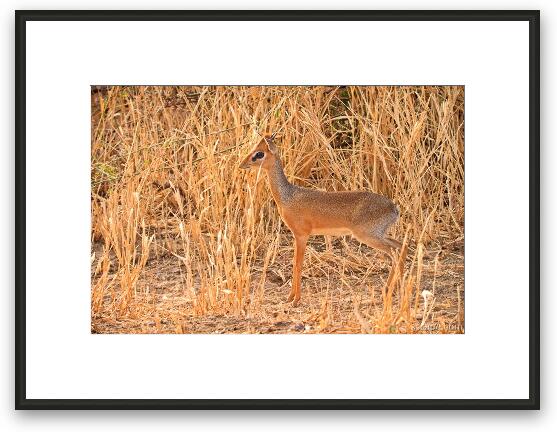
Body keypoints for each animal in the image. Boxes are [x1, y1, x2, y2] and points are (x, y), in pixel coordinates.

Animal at [239, 137, 400, 306]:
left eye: (259, 153)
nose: (242, 164)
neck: (287, 197)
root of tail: (394, 209)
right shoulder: (297, 236)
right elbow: (295, 264)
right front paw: (290, 298)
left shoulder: (302, 235)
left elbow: (298, 265)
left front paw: (295, 300)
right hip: (380, 234)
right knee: (401, 246)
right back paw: (392, 290)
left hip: (368, 236)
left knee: (395, 252)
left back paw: (388, 291)